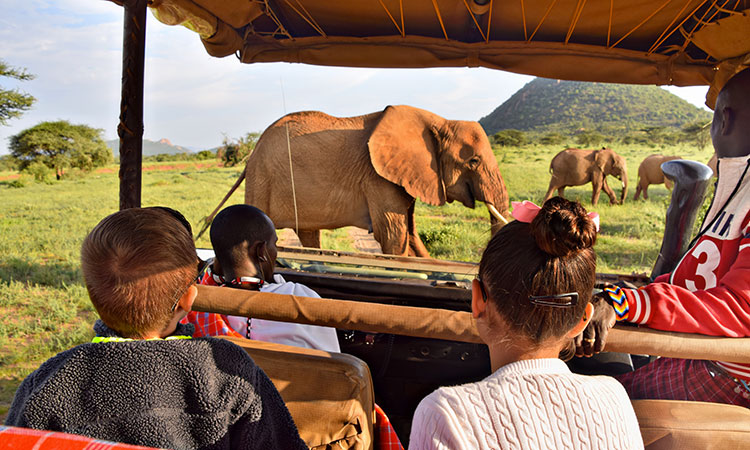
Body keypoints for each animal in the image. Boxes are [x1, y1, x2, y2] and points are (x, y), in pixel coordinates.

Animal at [206, 103, 512, 255]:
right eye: (473, 161)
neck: (438, 120)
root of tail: (252, 152)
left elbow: (410, 234)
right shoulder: (378, 178)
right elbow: (393, 235)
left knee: (308, 233)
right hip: (262, 178)